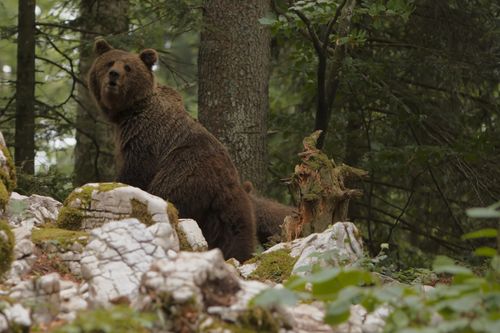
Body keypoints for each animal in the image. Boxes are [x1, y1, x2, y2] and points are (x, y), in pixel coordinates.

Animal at [86, 39, 256, 260]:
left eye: (128, 67)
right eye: (109, 62)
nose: (114, 74)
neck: (128, 112)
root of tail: (226, 183)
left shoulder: (145, 136)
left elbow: (136, 169)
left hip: (184, 171)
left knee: (168, 196)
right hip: (228, 210)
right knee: (237, 233)